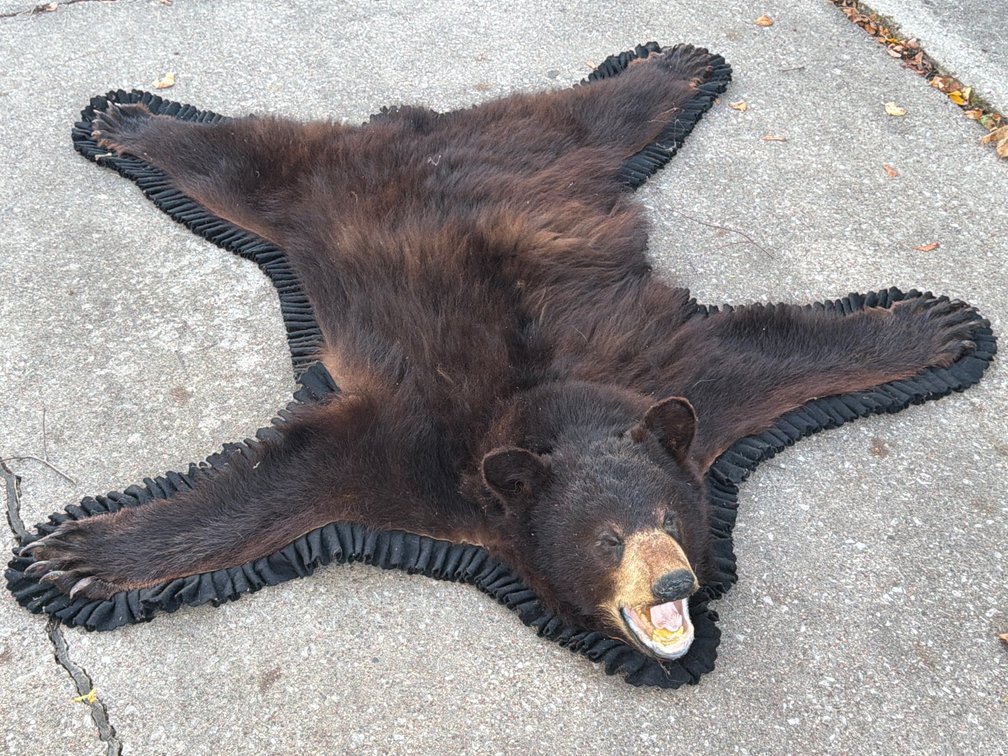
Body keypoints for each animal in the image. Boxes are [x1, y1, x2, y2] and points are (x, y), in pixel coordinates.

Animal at [16, 43, 989, 664]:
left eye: (671, 520)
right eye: (608, 540)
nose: (673, 583)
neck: (545, 408)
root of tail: (423, 131)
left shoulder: (675, 381)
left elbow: (773, 351)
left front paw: (937, 324)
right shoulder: (416, 451)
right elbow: (286, 483)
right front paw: (73, 557)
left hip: (553, 148)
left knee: (593, 115)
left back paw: (672, 65)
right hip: (319, 192)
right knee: (250, 161)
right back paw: (131, 117)